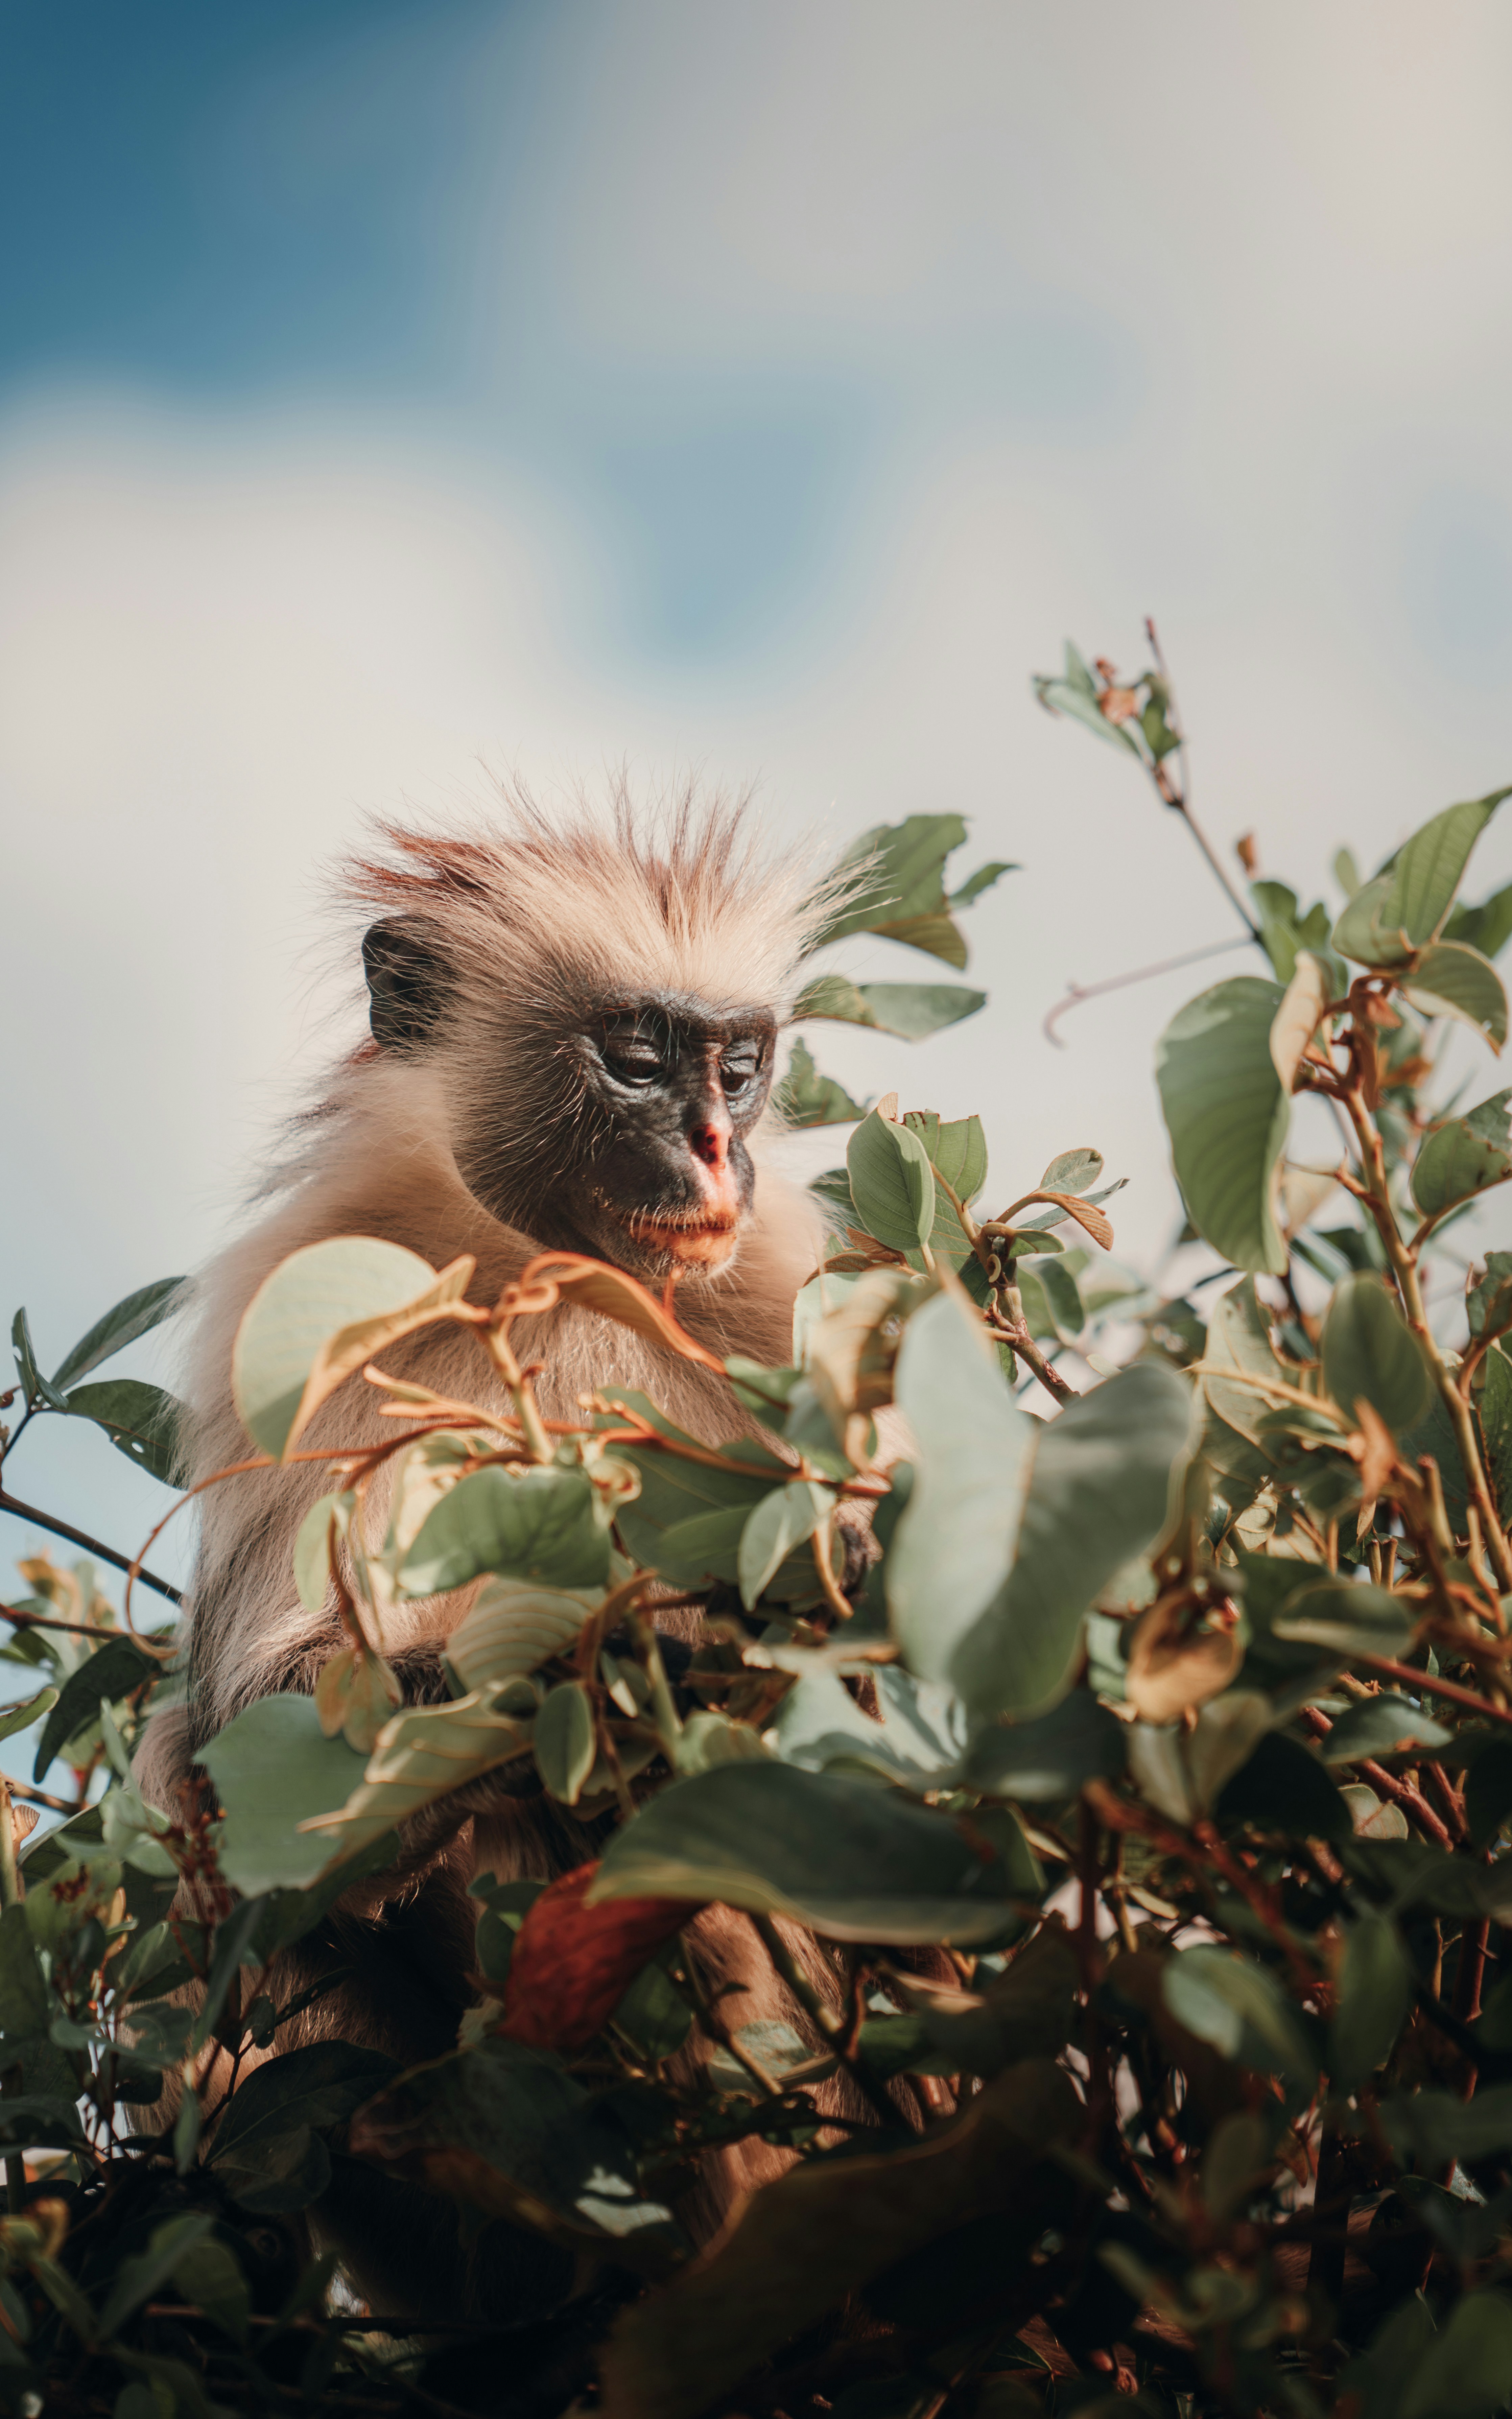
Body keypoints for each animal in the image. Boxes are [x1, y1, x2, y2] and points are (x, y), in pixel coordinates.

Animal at [135, 783, 933, 2323]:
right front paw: (616, 1651)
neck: (549, 1271)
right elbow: (242, 1749)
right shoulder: (322, 1303)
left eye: (739, 1065)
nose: (713, 1148)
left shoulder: (774, 1290)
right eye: (634, 1058)